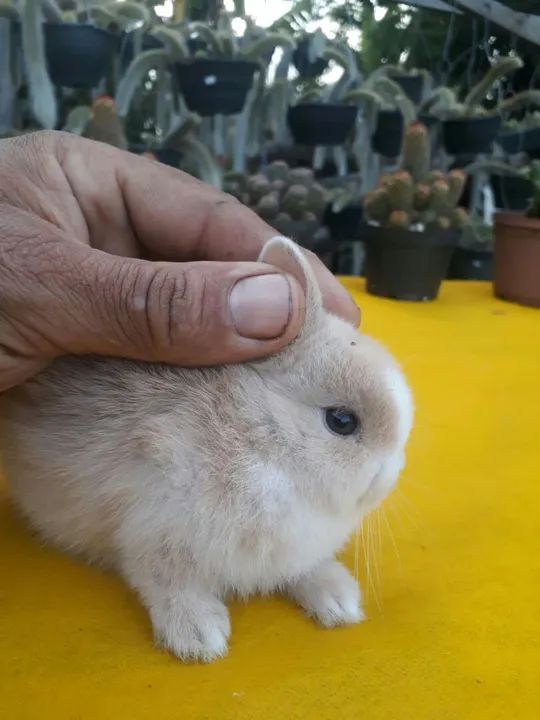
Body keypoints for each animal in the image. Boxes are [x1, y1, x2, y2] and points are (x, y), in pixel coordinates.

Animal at [0, 236, 413, 663]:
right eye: (342, 421)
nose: (390, 478)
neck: (262, 438)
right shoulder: (152, 528)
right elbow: (165, 580)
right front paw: (199, 637)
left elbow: (304, 567)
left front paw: (340, 601)